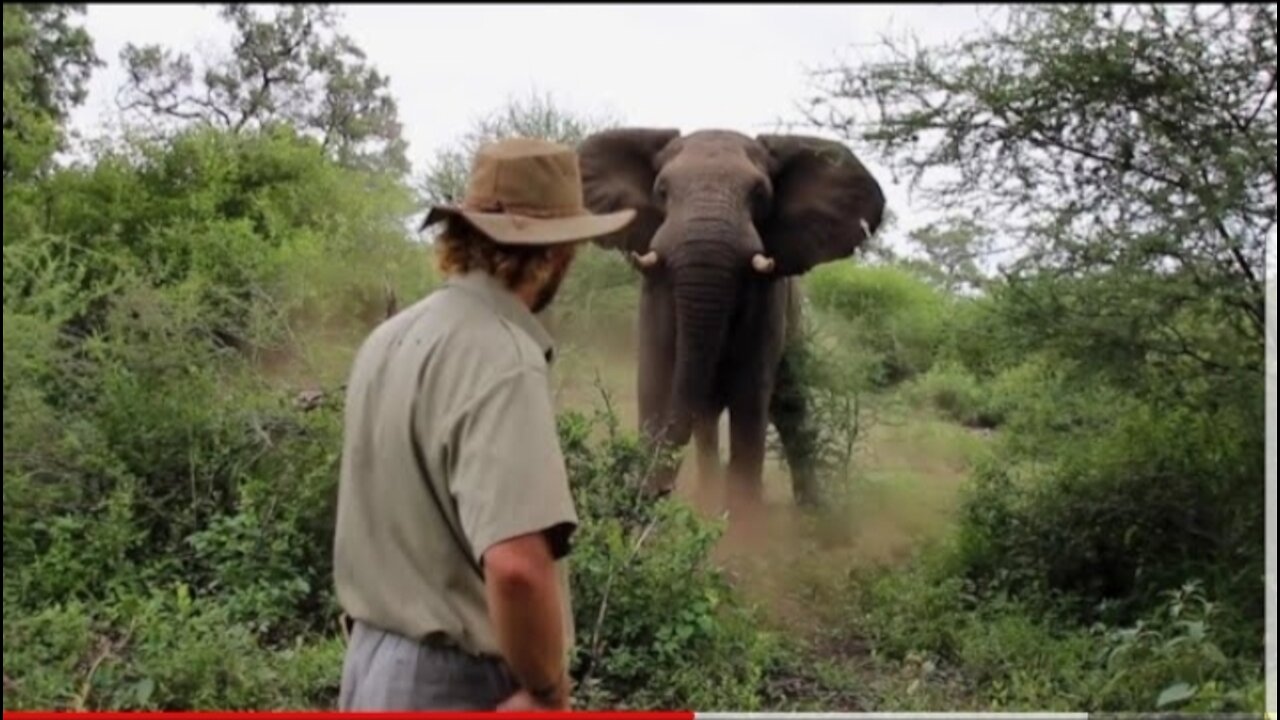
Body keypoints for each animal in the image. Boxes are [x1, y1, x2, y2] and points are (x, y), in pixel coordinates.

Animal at [576, 126, 885, 502]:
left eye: (760, 194)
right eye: (662, 191)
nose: (657, 491)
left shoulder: (767, 300)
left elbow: (750, 400)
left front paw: (742, 515)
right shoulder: (654, 290)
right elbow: (655, 381)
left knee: (791, 411)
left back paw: (811, 512)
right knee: (709, 418)